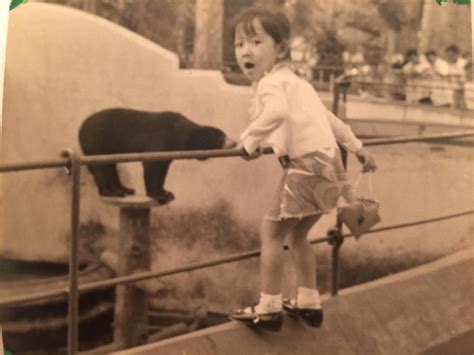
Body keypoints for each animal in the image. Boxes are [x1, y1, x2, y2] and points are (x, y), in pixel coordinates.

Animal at [79, 107, 239, 204]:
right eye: (221, 137)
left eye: (224, 134)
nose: (235, 142)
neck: (179, 133)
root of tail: (80, 129)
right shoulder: (161, 138)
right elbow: (151, 165)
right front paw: (158, 195)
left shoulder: (168, 152)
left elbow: (162, 169)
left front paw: (166, 192)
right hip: (95, 143)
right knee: (100, 168)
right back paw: (110, 192)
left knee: (111, 167)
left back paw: (124, 189)